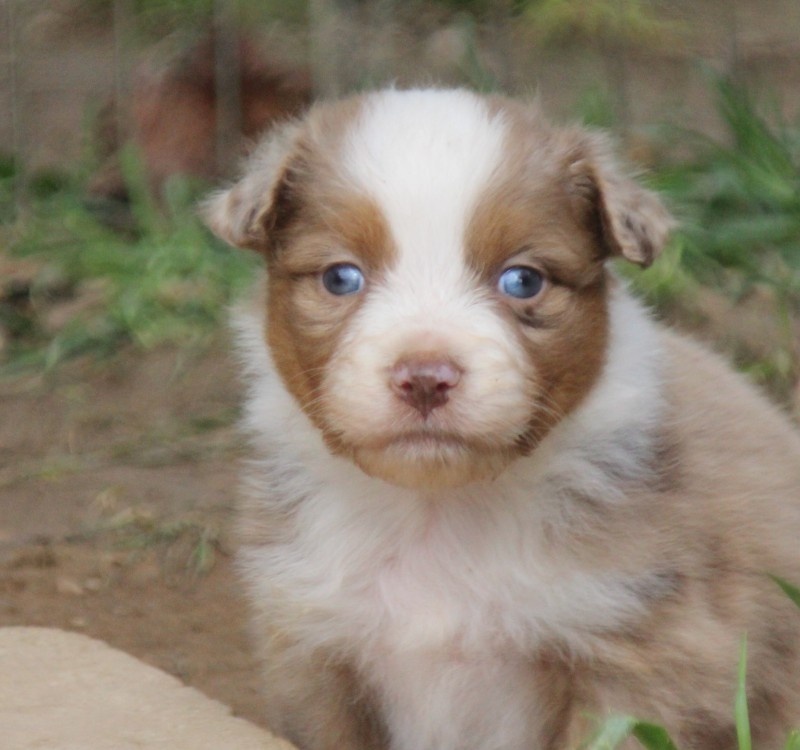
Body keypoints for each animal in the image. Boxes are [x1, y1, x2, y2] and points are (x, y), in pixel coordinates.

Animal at [203, 88, 800, 750]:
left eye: (522, 280)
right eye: (340, 277)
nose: (425, 377)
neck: (437, 513)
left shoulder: (641, 655)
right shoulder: (315, 657)